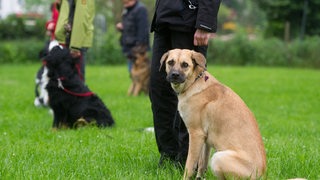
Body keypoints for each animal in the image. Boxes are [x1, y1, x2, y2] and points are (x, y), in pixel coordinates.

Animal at [160, 48, 268, 179]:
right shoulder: (205, 139)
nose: (175, 75)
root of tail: (262, 174)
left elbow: (189, 165)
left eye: (185, 65)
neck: (194, 82)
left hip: (218, 158)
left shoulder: (196, 134)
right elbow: (202, 164)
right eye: (170, 62)